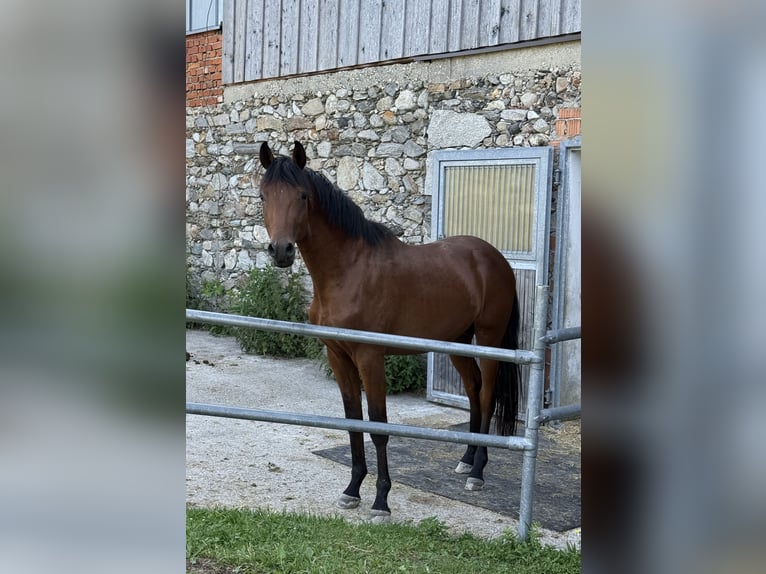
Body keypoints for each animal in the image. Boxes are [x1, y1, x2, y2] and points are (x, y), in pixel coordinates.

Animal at [257, 141, 521, 522]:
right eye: (263, 196)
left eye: (303, 196)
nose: (281, 251)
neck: (348, 272)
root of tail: (494, 258)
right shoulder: (338, 357)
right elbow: (354, 422)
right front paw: (352, 490)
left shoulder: (371, 358)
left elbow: (379, 427)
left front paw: (381, 501)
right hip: (457, 340)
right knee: (473, 390)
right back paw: (466, 459)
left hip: (489, 339)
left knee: (486, 396)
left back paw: (477, 472)